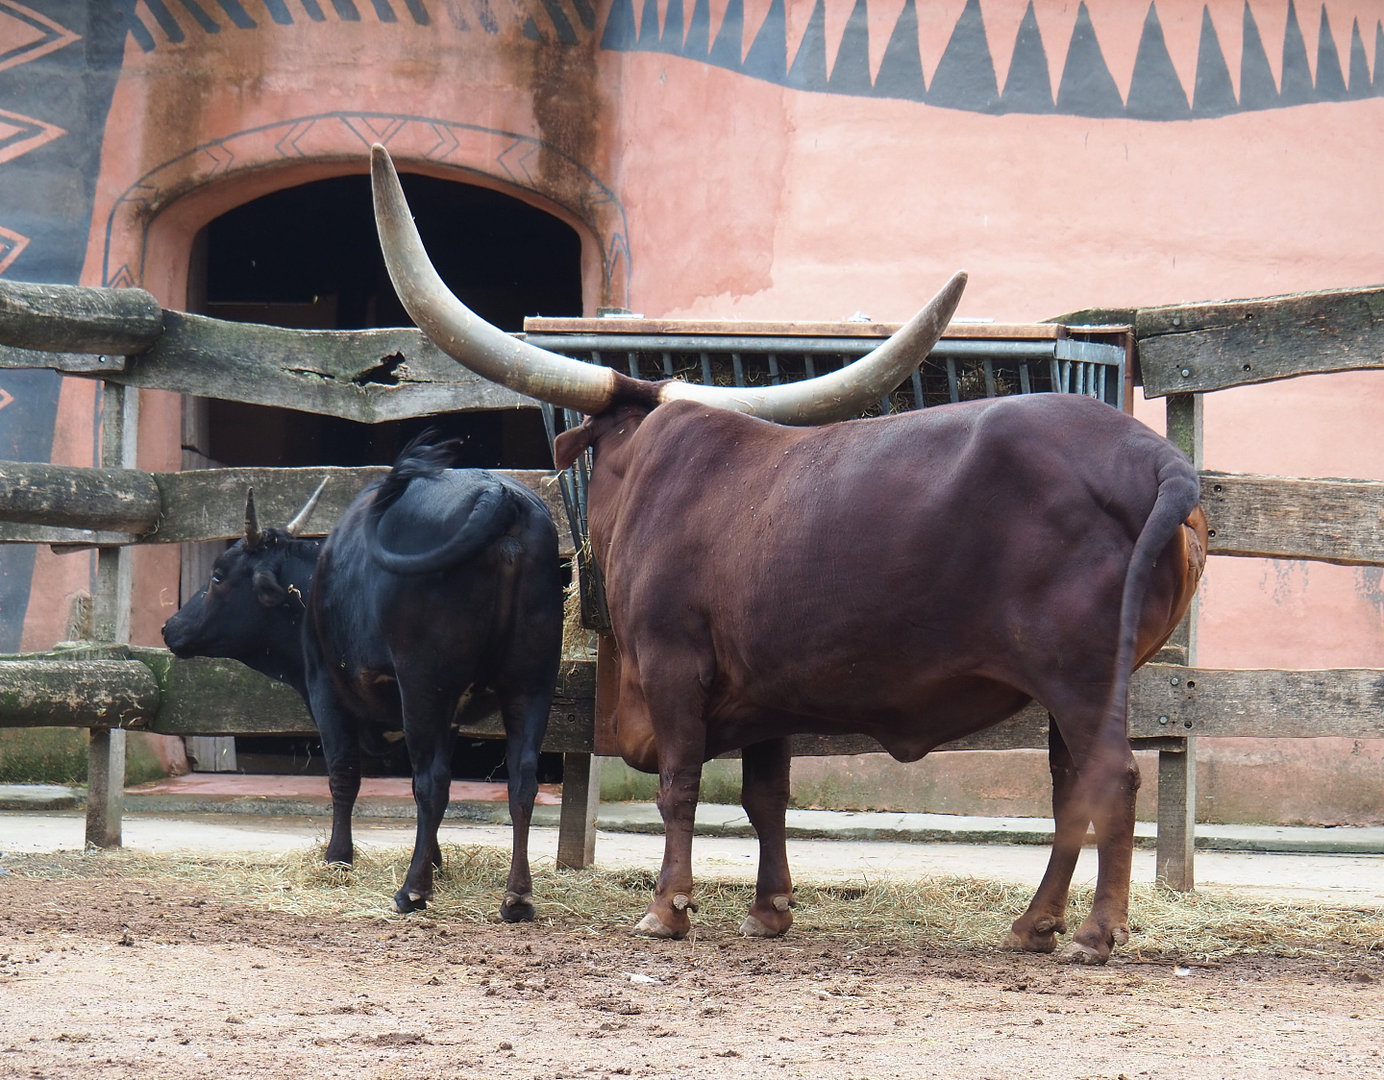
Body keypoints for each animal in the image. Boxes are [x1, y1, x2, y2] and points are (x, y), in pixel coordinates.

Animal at [161, 435, 564, 923]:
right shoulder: (450, 715)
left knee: (432, 782)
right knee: (521, 780)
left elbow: (343, 775)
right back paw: (517, 896)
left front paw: (338, 857)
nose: (170, 627)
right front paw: (434, 859)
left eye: (218, 575)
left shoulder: (326, 694)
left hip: (425, 684)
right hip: (531, 684)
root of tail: (497, 491)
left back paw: (413, 890)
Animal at [369, 144, 1207, 964]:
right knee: (1072, 790)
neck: (655, 470)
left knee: (1111, 779)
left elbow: (679, 784)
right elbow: (764, 797)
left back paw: (1095, 932)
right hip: (1087, 681)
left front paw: (668, 908)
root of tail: (1154, 458)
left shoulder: (673, 663)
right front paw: (768, 911)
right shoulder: (763, 686)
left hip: (1077, 673)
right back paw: (1035, 924)